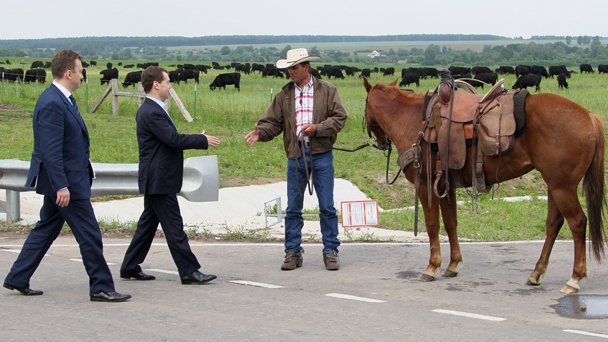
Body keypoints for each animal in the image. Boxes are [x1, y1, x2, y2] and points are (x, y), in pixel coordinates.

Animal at [364, 78, 604, 294]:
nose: (381, 143)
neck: (412, 119)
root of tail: (589, 117)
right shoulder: (445, 186)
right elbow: (451, 223)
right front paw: (453, 265)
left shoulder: (425, 186)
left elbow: (432, 225)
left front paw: (432, 267)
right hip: (554, 185)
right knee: (553, 224)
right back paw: (536, 273)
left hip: (563, 187)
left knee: (577, 223)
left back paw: (574, 279)